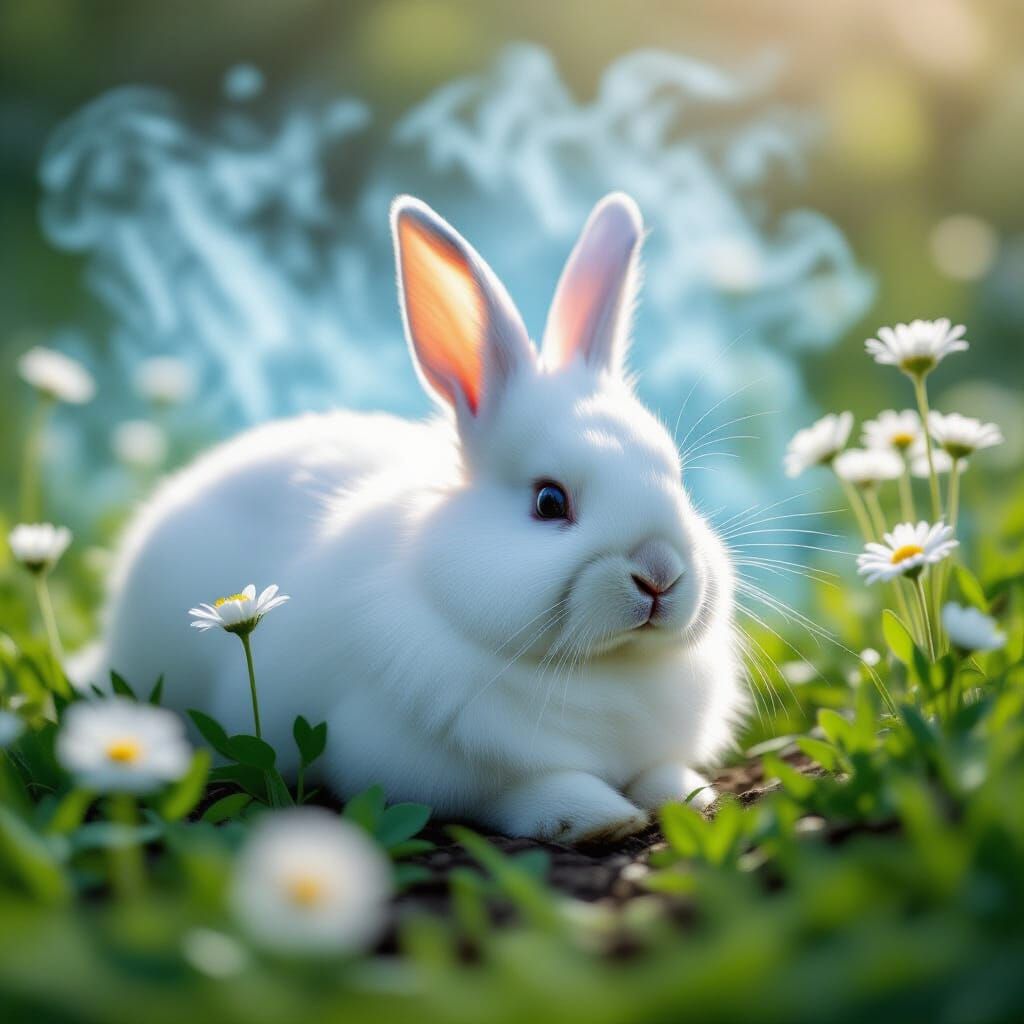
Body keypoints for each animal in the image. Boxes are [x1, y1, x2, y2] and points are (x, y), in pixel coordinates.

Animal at [87, 192, 745, 843]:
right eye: (550, 502)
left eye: (678, 479)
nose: (659, 573)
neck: (603, 669)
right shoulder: (406, 761)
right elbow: (523, 790)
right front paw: (596, 818)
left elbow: (662, 773)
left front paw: (690, 795)